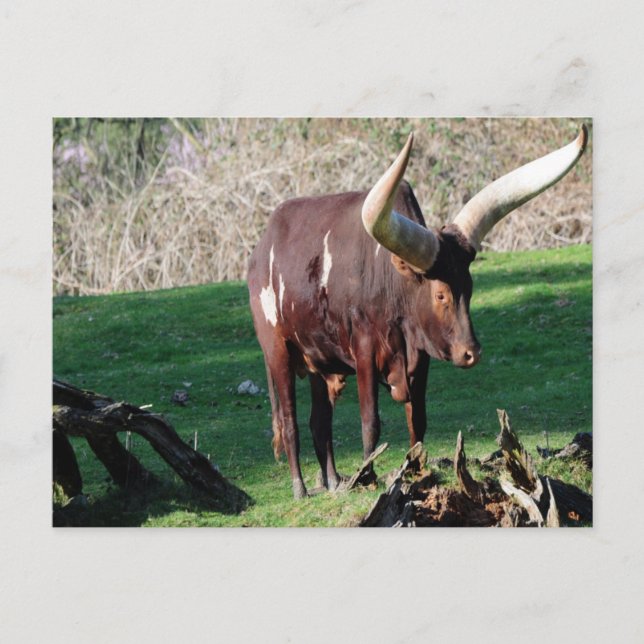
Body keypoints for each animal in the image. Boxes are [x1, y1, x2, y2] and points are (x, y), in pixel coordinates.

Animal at [247, 125, 588, 499]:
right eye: (440, 294)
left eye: (470, 287)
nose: (471, 353)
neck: (390, 279)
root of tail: (259, 250)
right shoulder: (364, 349)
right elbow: (370, 420)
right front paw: (368, 476)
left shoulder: (419, 353)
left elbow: (418, 417)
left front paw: (415, 470)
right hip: (277, 349)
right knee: (290, 421)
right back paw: (301, 488)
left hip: (321, 360)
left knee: (319, 420)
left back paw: (333, 481)